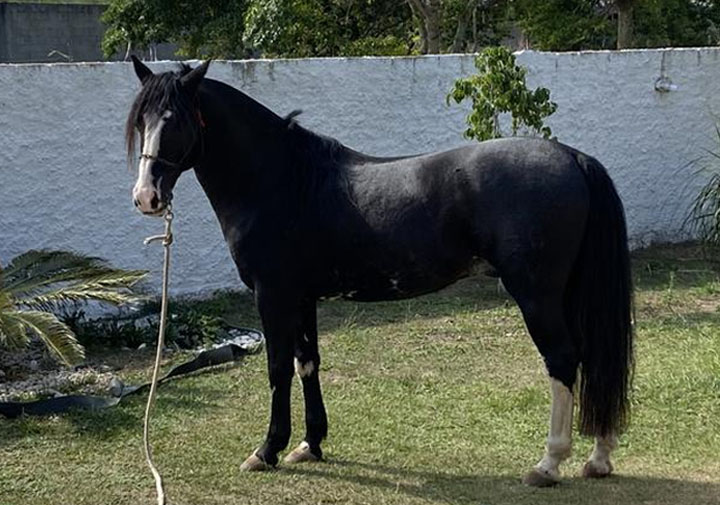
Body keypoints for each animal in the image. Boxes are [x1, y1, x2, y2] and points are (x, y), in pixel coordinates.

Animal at [126, 59, 632, 488]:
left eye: (173, 119)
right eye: (141, 121)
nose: (146, 197)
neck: (283, 180)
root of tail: (572, 157)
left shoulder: (272, 295)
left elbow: (277, 368)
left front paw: (267, 451)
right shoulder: (302, 297)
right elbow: (307, 363)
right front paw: (310, 444)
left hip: (537, 295)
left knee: (563, 360)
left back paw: (548, 464)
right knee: (591, 356)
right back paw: (599, 458)